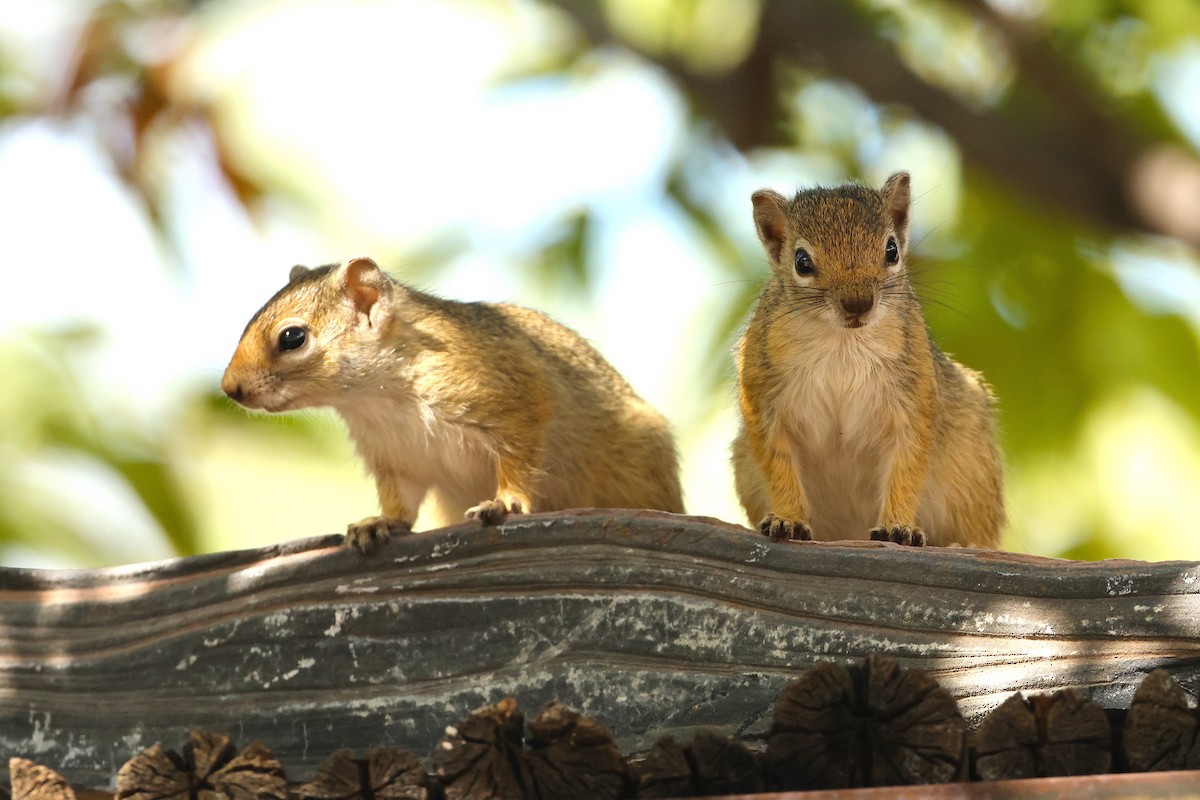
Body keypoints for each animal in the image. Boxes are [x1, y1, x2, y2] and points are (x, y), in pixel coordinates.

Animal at [221, 256, 685, 553]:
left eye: (292, 337)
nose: (230, 388)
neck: (376, 397)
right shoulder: (396, 456)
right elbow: (402, 502)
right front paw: (379, 523)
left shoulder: (511, 395)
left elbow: (518, 455)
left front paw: (504, 502)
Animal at [731, 172, 1004, 548]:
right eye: (802, 261)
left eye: (891, 250)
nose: (858, 303)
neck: (843, 342)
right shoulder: (762, 395)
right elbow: (778, 463)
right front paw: (788, 519)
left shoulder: (914, 398)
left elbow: (907, 465)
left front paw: (897, 527)